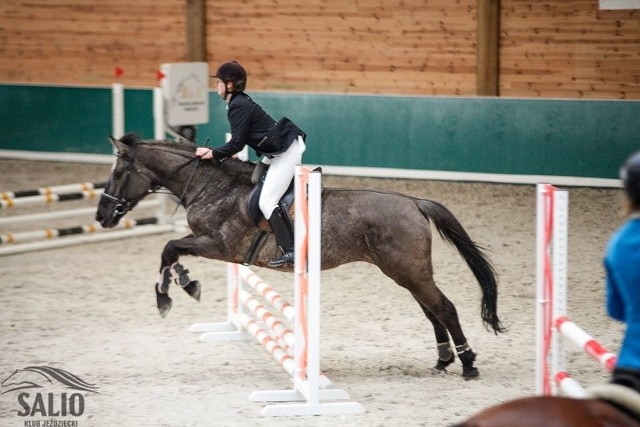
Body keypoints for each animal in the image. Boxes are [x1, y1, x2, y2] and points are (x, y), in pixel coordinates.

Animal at [95, 135, 504, 380]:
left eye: (118, 172)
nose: (102, 216)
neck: (213, 186)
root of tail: (415, 202)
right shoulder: (212, 245)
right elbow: (172, 249)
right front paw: (183, 281)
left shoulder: (220, 245)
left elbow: (169, 248)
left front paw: (172, 292)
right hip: (407, 272)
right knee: (432, 310)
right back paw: (443, 359)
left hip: (409, 271)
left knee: (444, 307)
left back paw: (468, 363)